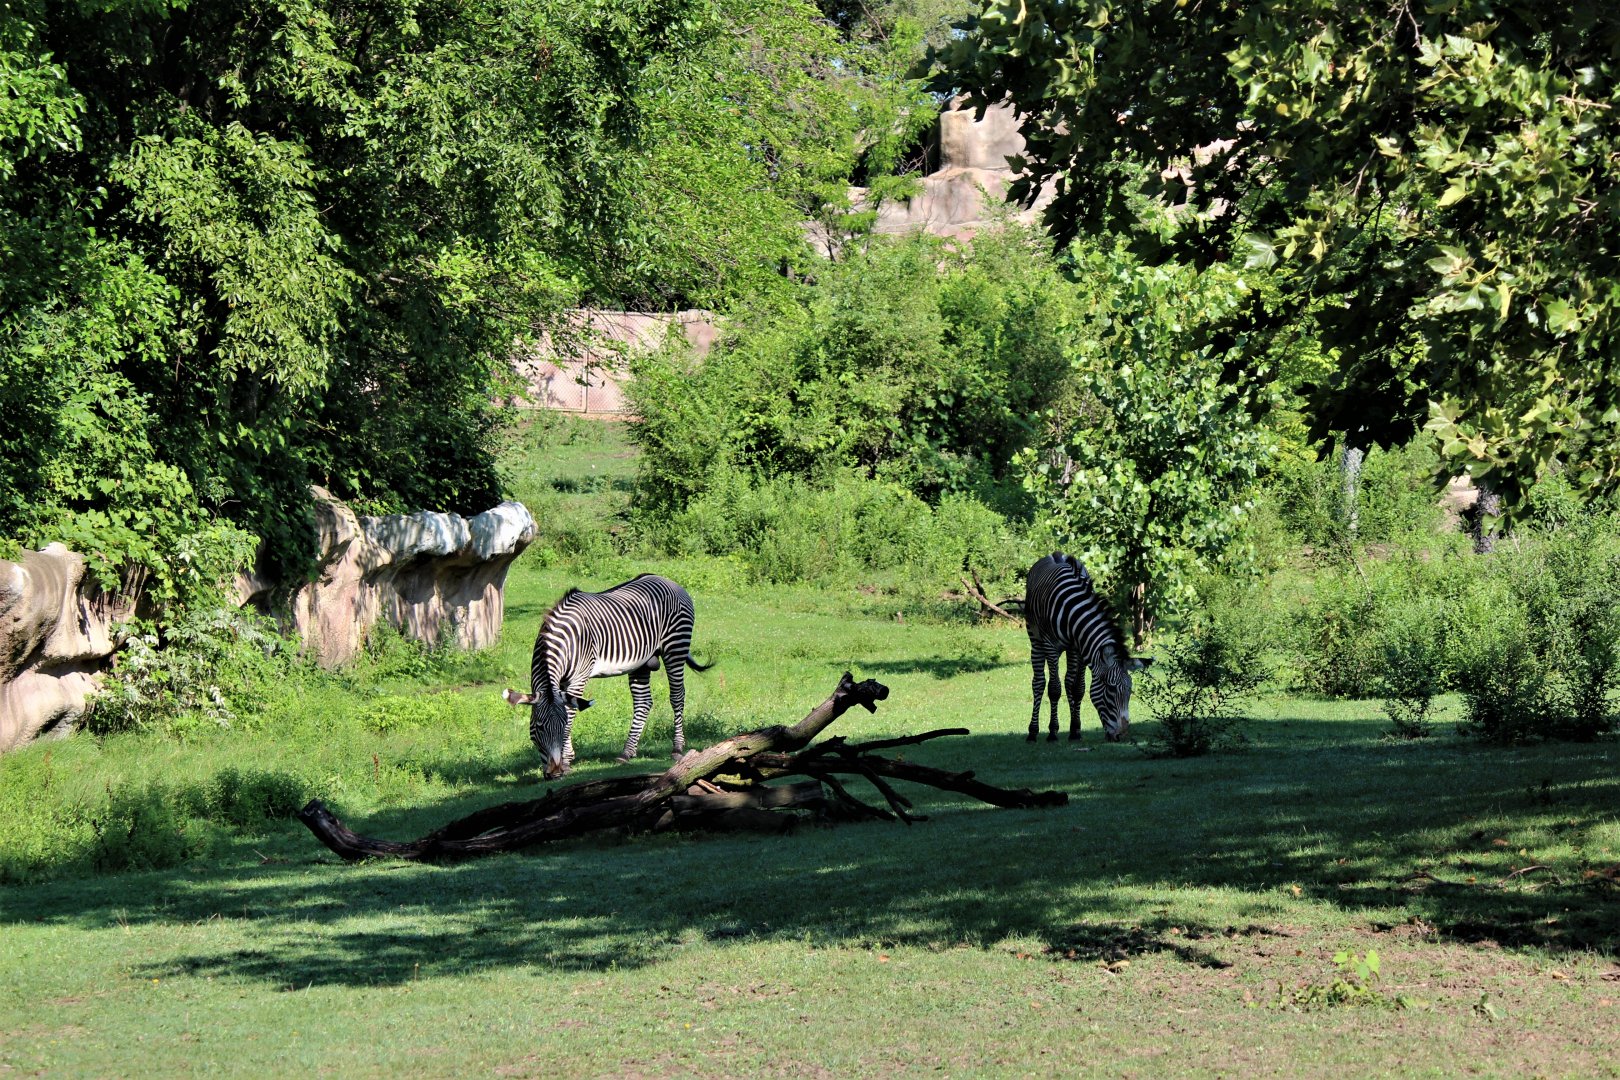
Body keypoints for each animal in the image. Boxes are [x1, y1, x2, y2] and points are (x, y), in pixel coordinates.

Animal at [502, 574, 712, 779]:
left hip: (676, 647)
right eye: (539, 727)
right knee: (643, 702)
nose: (555, 774)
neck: (564, 641)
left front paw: (567, 760)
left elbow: (571, 711)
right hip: (642, 662)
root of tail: (668, 580)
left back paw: (677, 748)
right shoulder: (560, 683)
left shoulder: (579, 677)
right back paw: (627, 753)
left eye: (562, 726)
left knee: (677, 695)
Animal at [1024, 552, 1151, 743]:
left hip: (1069, 650)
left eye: (1130, 690)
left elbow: (1078, 688)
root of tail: (1054, 554)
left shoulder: (1080, 648)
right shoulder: (1051, 646)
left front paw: (1075, 730)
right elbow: (1054, 689)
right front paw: (1053, 732)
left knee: (1068, 681)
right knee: (1039, 683)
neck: (1072, 613)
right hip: (1036, 640)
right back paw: (1033, 731)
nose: (1121, 735)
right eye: (1111, 689)